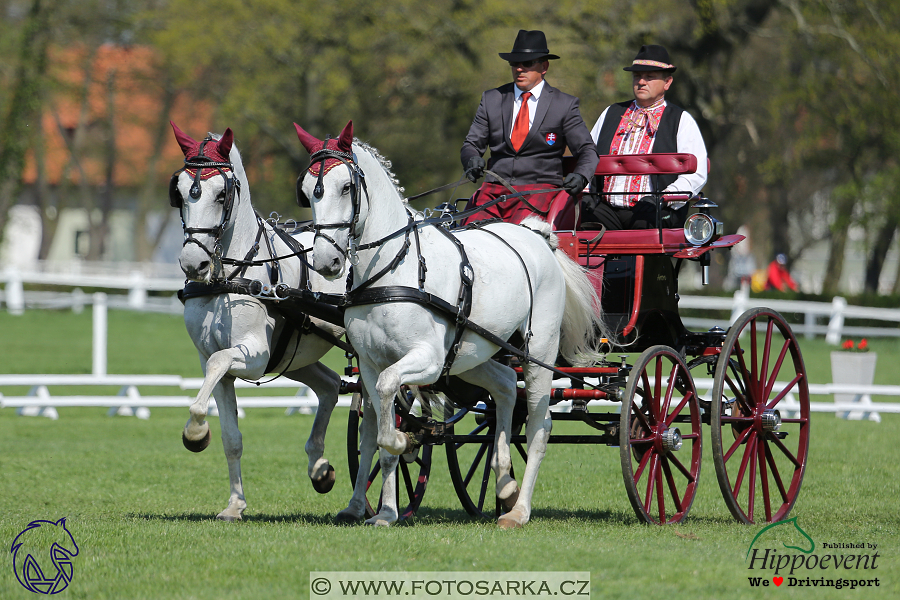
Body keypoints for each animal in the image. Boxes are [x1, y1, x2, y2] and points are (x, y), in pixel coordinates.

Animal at [169, 124, 348, 524]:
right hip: (296, 356)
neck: (229, 277)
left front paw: (195, 432)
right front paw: (235, 504)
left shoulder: (252, 354)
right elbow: (231, 438)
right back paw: (319, 468)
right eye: (180, 192)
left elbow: (220, 362)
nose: (192, 263)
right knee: (330, 386)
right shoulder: (213, 363)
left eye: (222, 195)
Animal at [298, 119, 604, 528]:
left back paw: (519, 510)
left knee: (540, 427)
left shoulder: (425, 359)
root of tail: (539, 237)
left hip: (536, 352)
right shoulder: (370, 365)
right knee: (505, 387)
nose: (326, 262)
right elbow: (378, 432)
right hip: (473, 355)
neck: (393, 268)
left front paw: (402, 444)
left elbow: (388, 400)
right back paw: (504, 484)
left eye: (346, 187)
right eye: (306, 192)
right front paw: (387, 511)